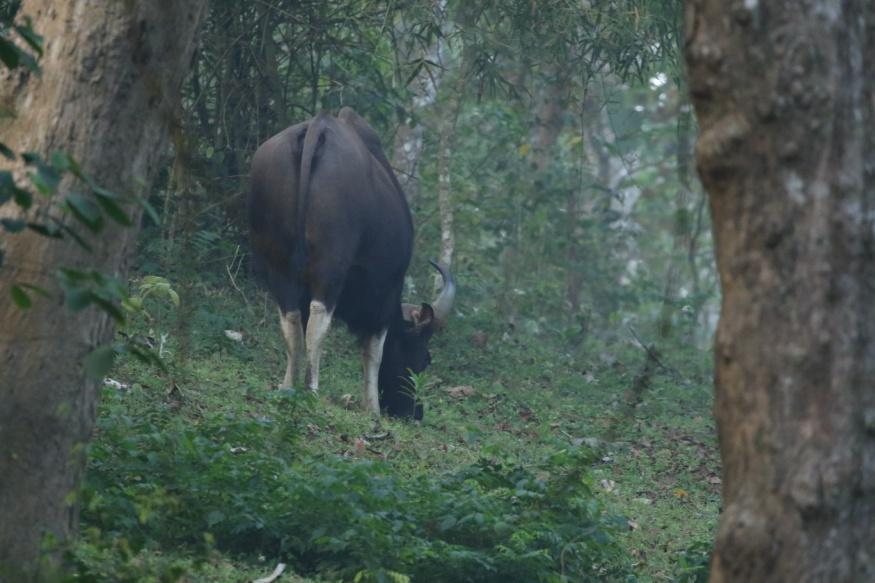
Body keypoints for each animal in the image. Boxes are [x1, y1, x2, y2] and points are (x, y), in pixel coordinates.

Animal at [245, 107, 452, 420]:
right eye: (425, 358)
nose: (415, 411)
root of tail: (317, 128)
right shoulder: (385, 292)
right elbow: (374, 351)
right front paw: (372, 407)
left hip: (277, 263)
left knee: (291, 319)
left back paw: (288, 386)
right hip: (331, 264)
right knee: (319, 320)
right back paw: (311, 389)